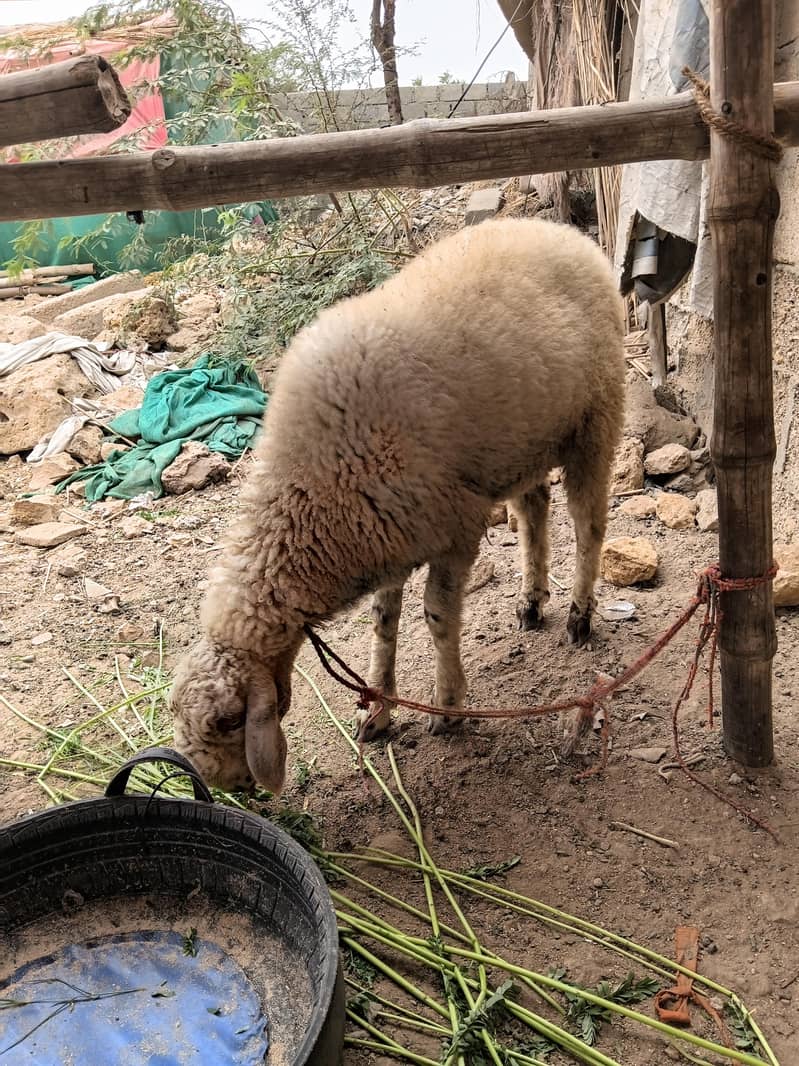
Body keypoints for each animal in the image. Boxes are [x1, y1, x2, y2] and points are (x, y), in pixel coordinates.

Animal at [170, 217, 626, 794]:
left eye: (229, 721)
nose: (220, 786)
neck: (309, 491)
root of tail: (564, 232)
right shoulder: (384, 534)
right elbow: (384, 623)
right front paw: (379, 712)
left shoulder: (455, 527)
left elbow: (436, 618)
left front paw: (447, 708)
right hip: (523, 439)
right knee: (534, 510)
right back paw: (531, 600)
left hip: (595, 416)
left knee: (589, 525)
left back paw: (578, 616)